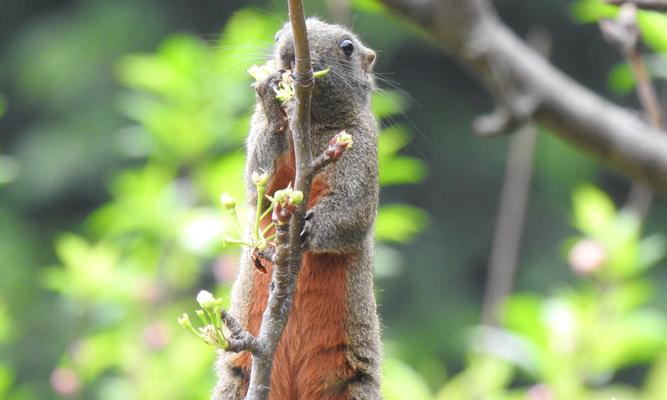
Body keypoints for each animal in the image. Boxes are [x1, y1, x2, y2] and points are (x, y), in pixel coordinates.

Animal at [214, 18, 380, 400]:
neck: (311, 123)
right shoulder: (261, 144)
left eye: (347, 47)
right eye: (277, 34)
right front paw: (270, 96)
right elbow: (258, 183)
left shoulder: (363, 148)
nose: (289, 51)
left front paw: (308, 229)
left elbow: (351, 209)